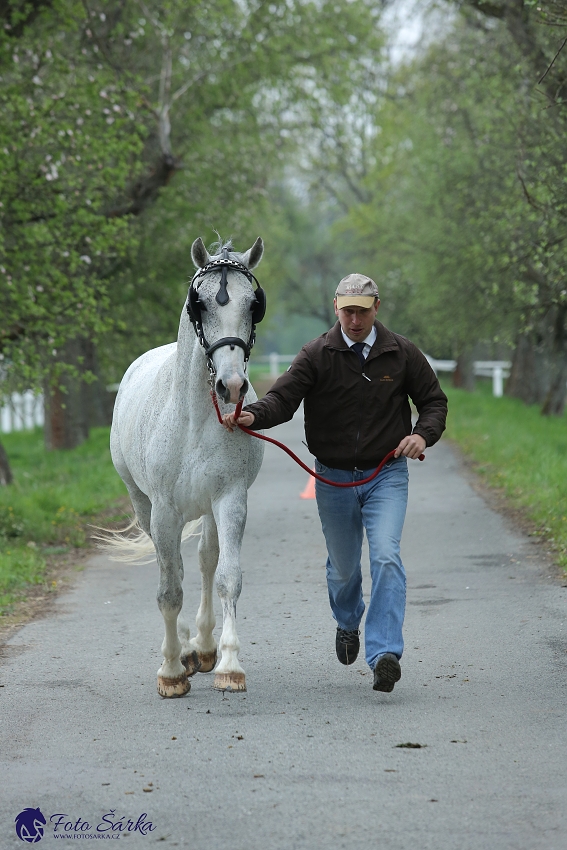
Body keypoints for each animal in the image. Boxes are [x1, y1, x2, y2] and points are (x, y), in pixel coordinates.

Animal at [109, 237, 266, 696]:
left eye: (253, 305)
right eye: (200, 304)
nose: (232, 386)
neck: (195, 418)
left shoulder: (230, 498)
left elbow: (227, 576)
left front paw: (229, 664)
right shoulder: (163, 511)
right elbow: (169, 589)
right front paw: (171, 671)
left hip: (209, 509)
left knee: (205, 560)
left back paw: (203, 647)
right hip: (143, 505)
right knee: (173, 570)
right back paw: (180, 648)